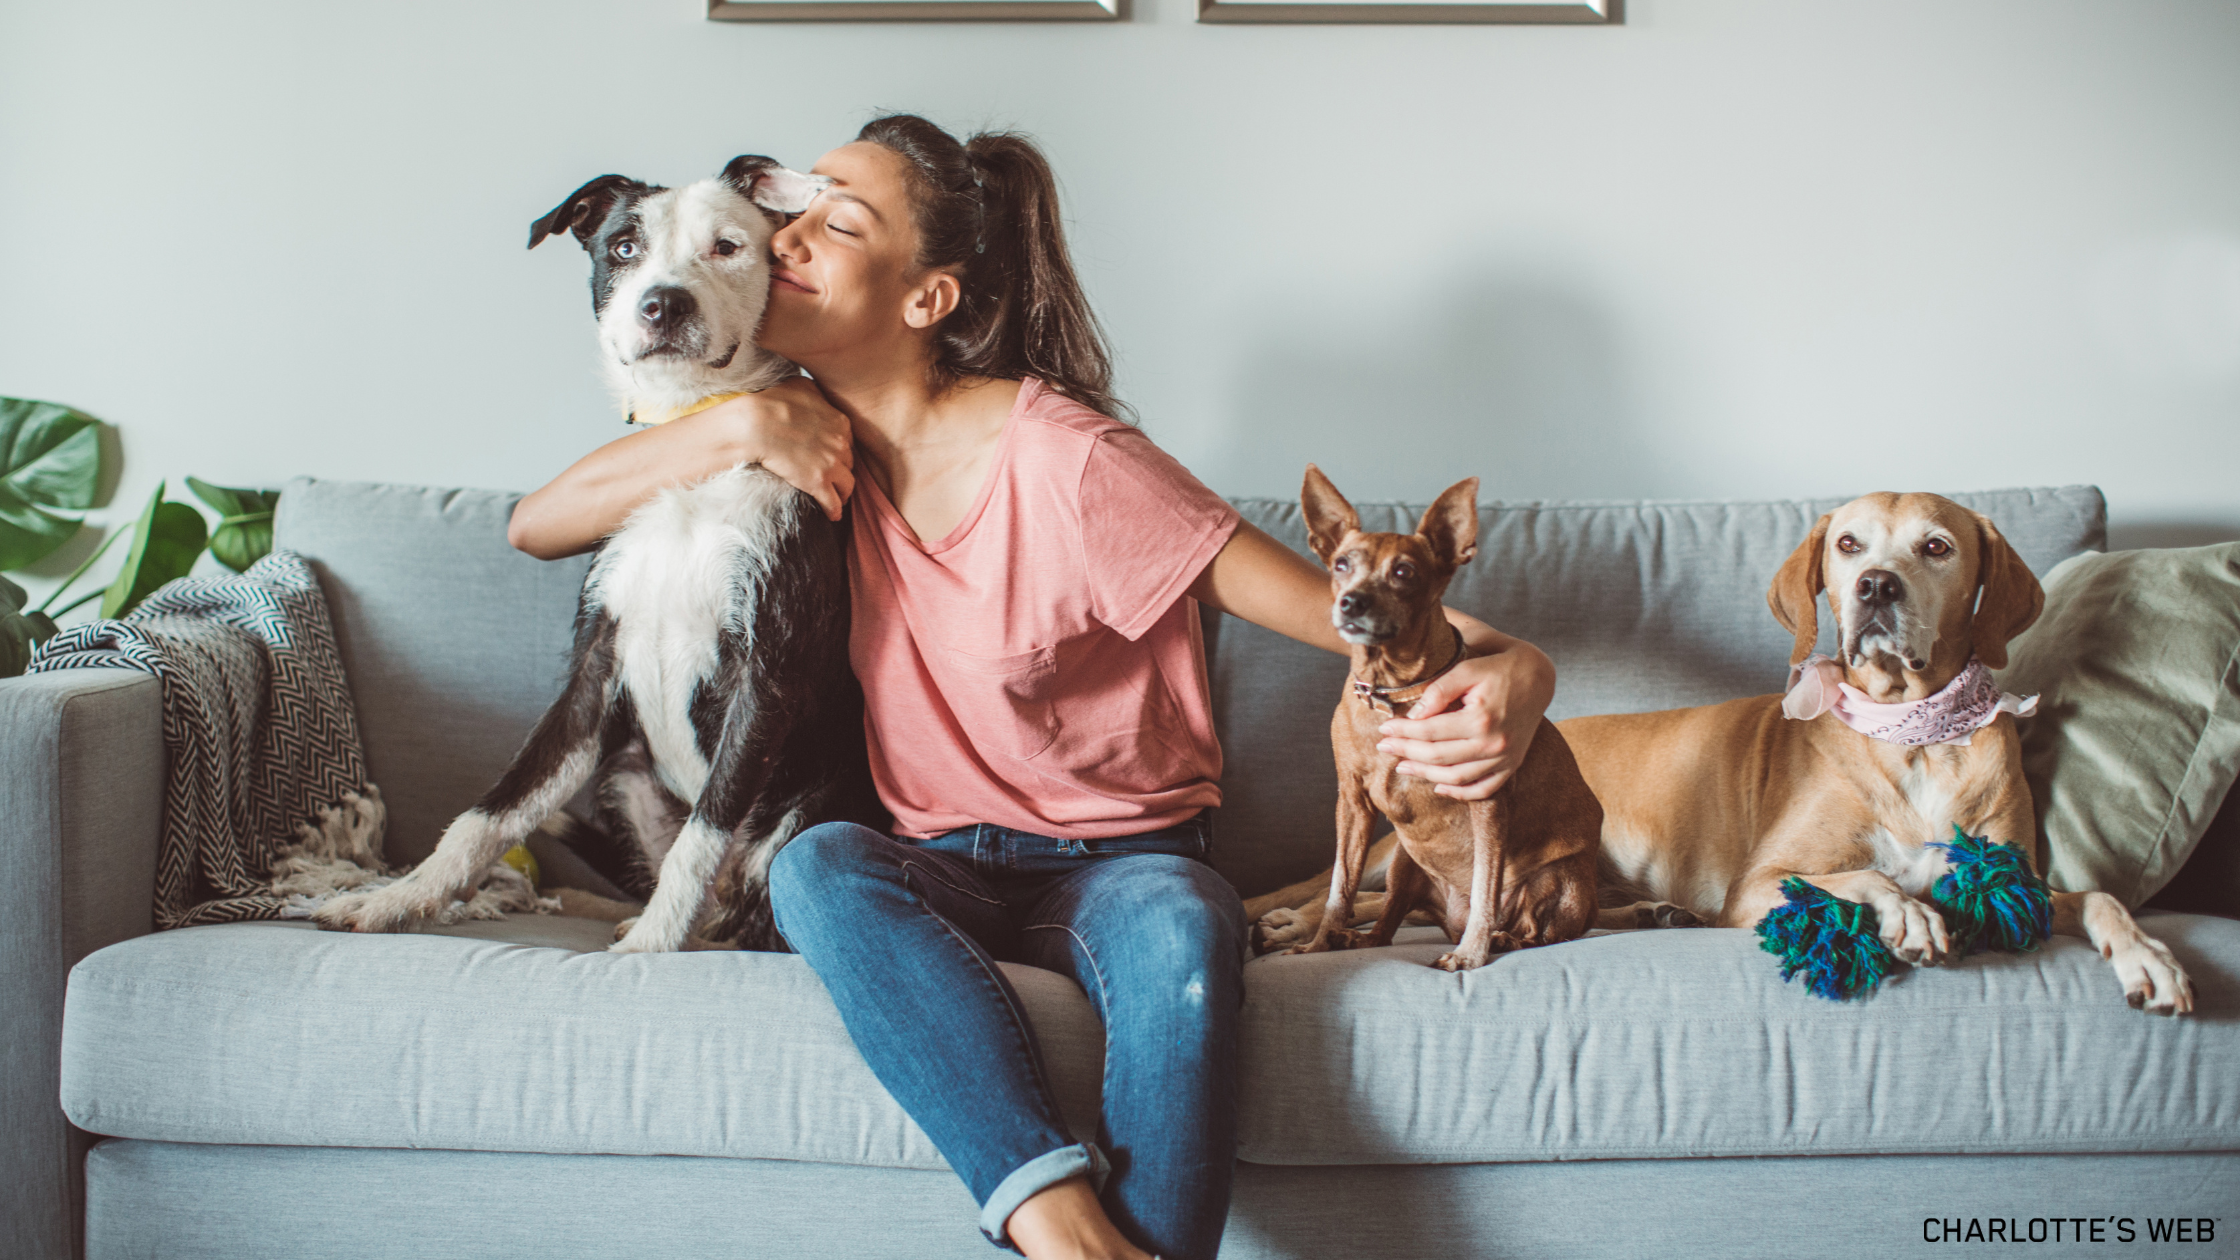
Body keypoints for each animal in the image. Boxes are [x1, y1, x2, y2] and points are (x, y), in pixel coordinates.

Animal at [315, 156, 873, 946]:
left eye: (728, 246)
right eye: (623, 248)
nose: (663, 305)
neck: (691, 445)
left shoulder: (766, 678)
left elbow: (704, 833)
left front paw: (651, 946)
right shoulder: (592, 670)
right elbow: (489, 812)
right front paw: (394, 899)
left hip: (806, 809)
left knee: (756, 916)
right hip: (623, 773)